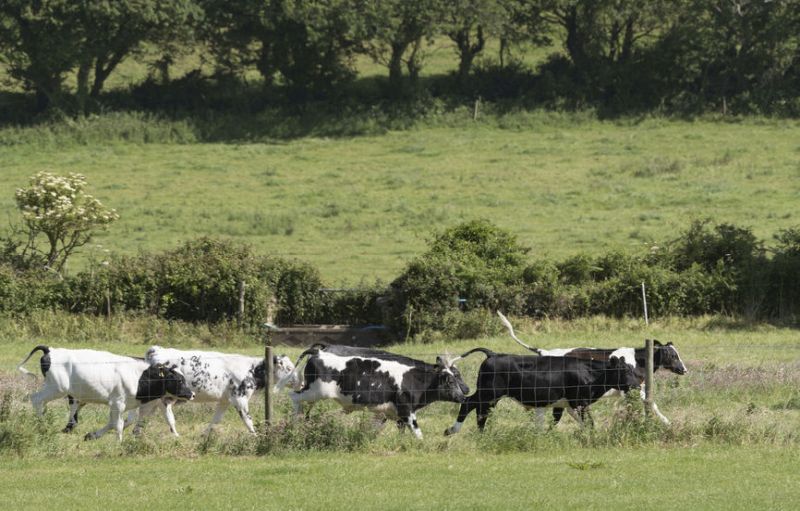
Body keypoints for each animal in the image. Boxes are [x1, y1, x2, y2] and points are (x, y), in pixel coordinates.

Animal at [16, 346, 194, 442]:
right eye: (178, 380)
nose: (191, 394)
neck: (139, 376)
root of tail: (50, 350)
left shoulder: (125, 405)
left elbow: (116, 422)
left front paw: (92, 435)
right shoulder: (117, 402)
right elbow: (118, 424)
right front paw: (119, 442)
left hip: (57, 389)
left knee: (43, 404)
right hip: (57, 388)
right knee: (36, 399)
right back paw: (43, 426)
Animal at [141, 344, 296, 436]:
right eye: (288, 368)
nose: (300, 382)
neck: (252, 370)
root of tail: (157, 350)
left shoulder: (225, 400)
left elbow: (216, 419)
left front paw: (204, 435)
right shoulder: (239, 398)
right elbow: (248, 420)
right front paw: (256, 437)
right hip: (160, 397)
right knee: (161, 413)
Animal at [282, 344, 468, 440]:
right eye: (451, 381)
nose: (463, 395)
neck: (412, 379)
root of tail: (318, 352)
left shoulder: (393, 413)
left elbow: (397, 430)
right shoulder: (406, 409)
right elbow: (417, 431)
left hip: (313, 393)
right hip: (314, 391)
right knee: (294, 397)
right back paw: (295, 422)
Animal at [446, 348, 640, 436]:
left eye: (631, 368)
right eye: (625, 370)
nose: (638, 385)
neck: (590, 373)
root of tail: (493, 354)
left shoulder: (563, 404)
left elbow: (557, 421)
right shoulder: (579, 402)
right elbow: (589, 423)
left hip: (490, 397)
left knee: (481, 412)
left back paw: (481, 434)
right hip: (488, 393)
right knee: (468, 404)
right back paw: (452, 430)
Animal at [496, 310, 684, 426]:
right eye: (673, 356)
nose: (684, 369)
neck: (637, 361)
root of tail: (545, 351)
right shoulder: (630, 389)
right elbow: (649, 404)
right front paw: (665, 422)